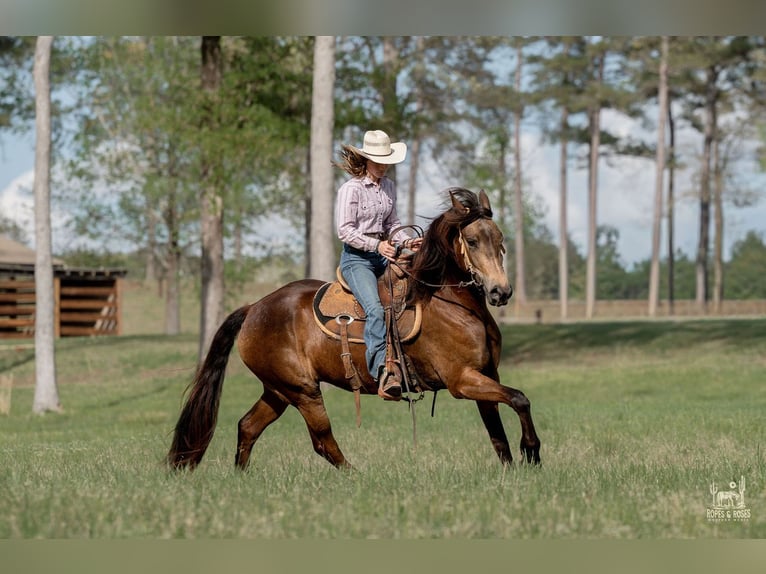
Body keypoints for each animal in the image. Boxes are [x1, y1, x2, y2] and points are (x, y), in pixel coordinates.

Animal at [167, 187, 541, 470]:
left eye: (499, 238)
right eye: (472, 241)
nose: (500, 291)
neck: (448, 301)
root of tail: (254, 308)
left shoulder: (485, 374)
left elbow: (498, 432)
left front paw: (514, 468)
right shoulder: (462, 380)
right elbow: (520, 399)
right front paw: (532, 451)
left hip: (278, 390)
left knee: (247, 427)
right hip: (303, 391)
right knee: (322, 440)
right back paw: (357, 477)